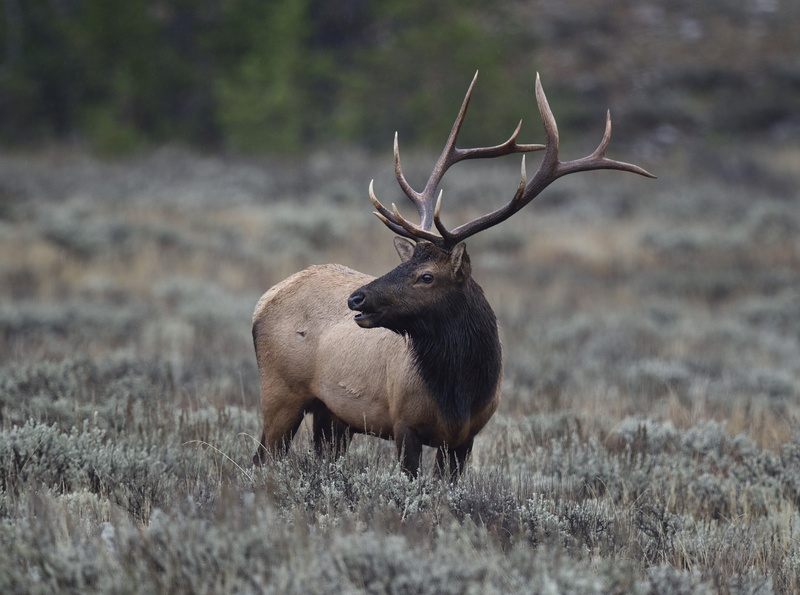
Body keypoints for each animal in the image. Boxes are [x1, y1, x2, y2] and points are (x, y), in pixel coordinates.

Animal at [252, 72, 654, 477]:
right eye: (403, 264)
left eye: (426, 275)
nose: (356, 297)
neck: (459, 392)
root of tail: (263, 301)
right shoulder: (404, 423)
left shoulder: (466, 436)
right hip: (280, 392)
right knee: (262, 457)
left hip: (333, 415)